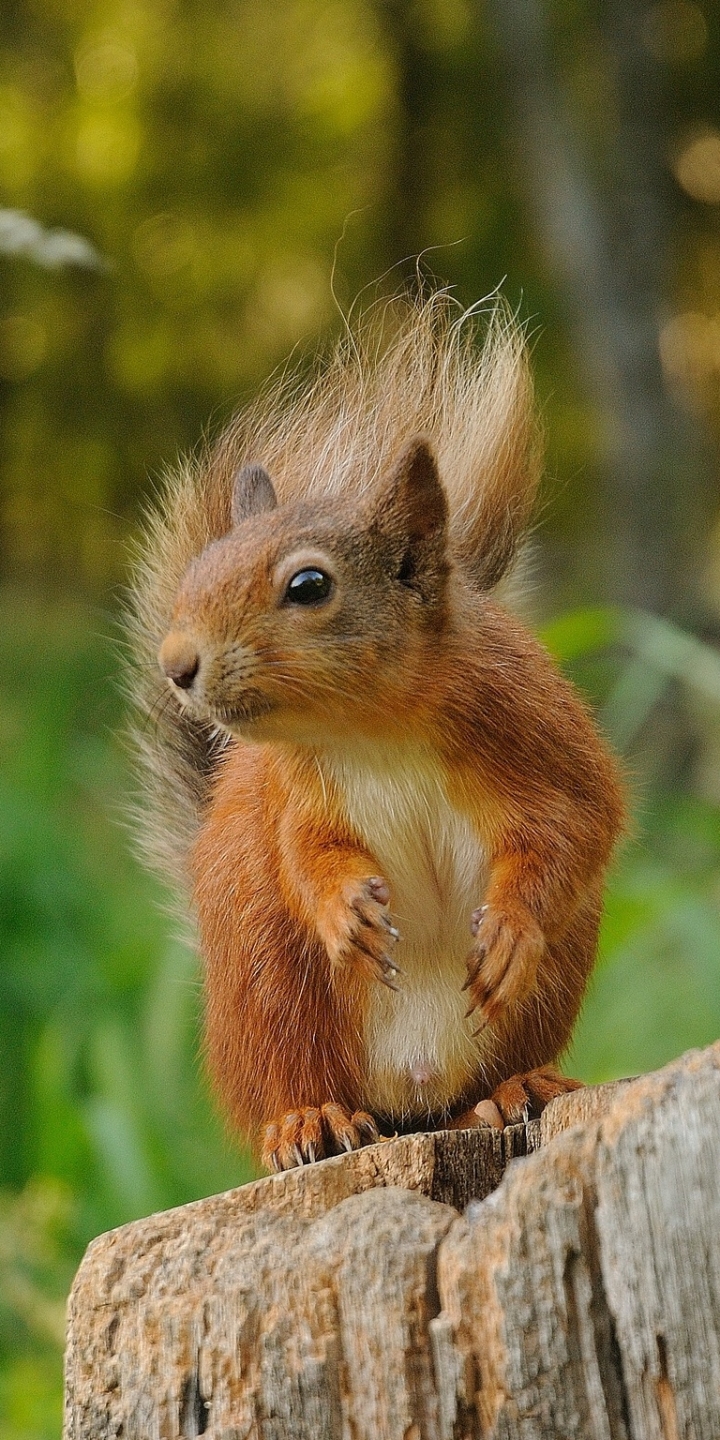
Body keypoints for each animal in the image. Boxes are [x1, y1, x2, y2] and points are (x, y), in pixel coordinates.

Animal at [129, 289, 624, 1169]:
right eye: (199, 572)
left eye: (309, 585)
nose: (176, 663)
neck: (371, 730)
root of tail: (409, 1098)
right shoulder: (294, 795)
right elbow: (306, 857)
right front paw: (342, 910)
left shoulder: (539, 732)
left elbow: (574, 828)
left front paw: (510, 928)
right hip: (270, 988)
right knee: (299, 1082)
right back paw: (308, 1122)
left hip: (541, 994)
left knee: (470, 1091)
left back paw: (510, 1091)